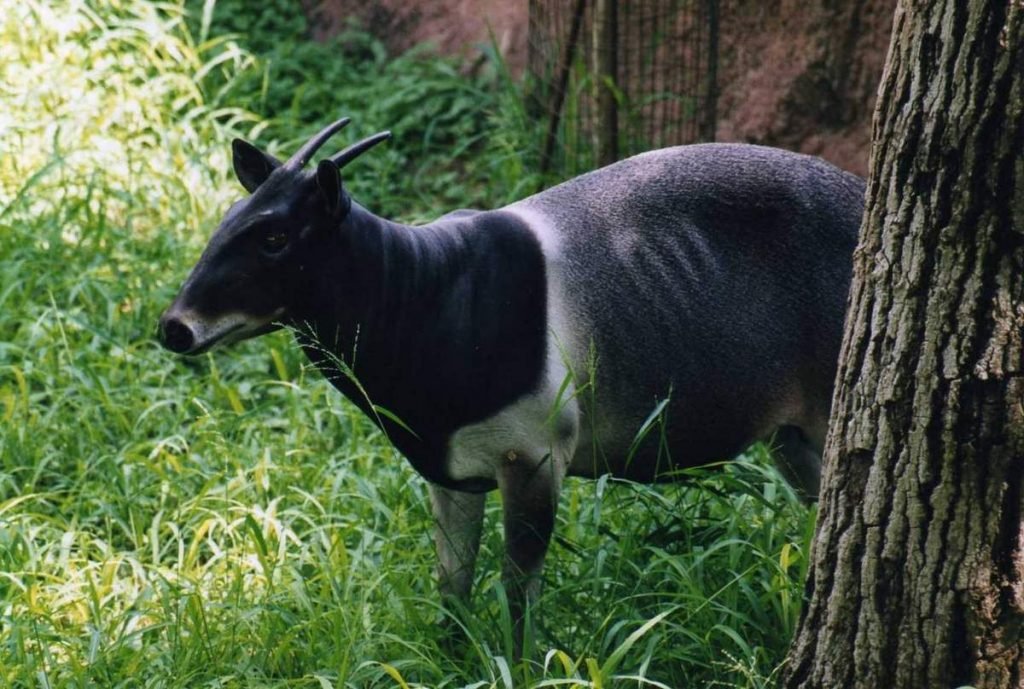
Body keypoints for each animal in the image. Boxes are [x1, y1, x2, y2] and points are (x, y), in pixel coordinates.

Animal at [157, 116, 864, 647]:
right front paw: (449, 659)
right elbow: (452, 584)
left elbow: (517, 591)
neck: (429, 293)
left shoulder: (533, 456)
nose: (175, 328)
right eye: (227, 220)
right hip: (789, 436)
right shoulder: (448, 471)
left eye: (275, 237)